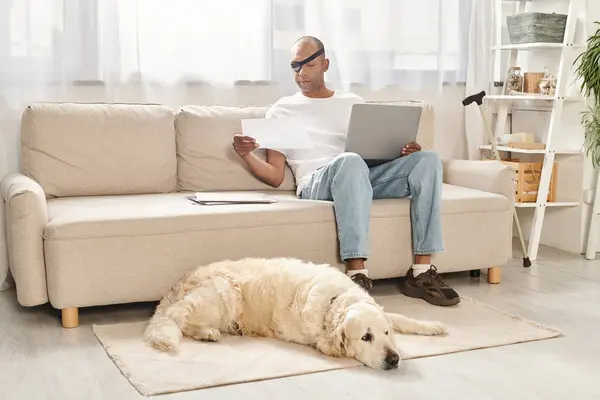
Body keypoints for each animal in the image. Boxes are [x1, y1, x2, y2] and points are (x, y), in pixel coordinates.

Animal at [145, 258, 446, 370]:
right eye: (366, 337)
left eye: (385, 334)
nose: (394, 359)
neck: (335, 301)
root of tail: (178, 285)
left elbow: (401, 318)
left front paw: (433, 326)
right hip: (223, 295)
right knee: (178, 319)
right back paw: (207, 332)